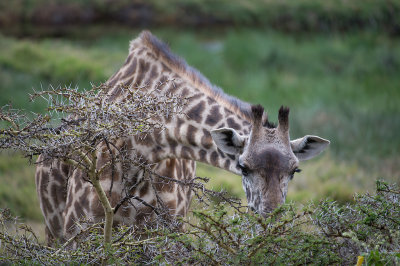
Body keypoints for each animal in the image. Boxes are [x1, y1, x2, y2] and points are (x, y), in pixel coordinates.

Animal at [35, 30, 328, 243]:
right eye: (243, 167)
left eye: (295, 170)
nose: (272, 222)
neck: (145, 145)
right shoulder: (81, 230)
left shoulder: (165, 232)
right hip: (54, 231)